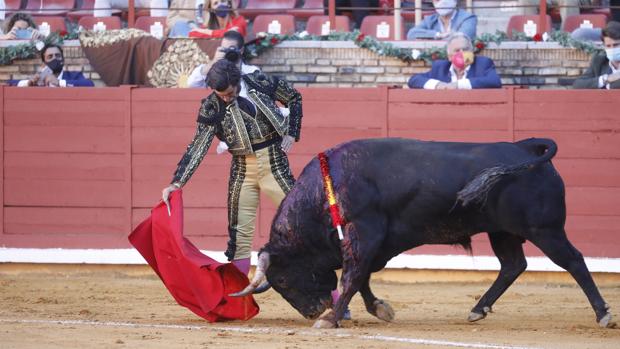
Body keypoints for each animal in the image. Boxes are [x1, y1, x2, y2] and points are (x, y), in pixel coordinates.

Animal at [234, 137, 616, 328]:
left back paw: (603, 314)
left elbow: (353, 275)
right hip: (502, 231)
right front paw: (377, 309)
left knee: (574, 261)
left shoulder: (365, 233)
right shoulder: (370, 242)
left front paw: (330, 319)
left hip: (544, 229)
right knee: (513, 265)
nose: (313, 311)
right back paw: (477, 309)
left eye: (283, 281)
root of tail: (527, 147)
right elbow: (363, 276)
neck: (327, 188)